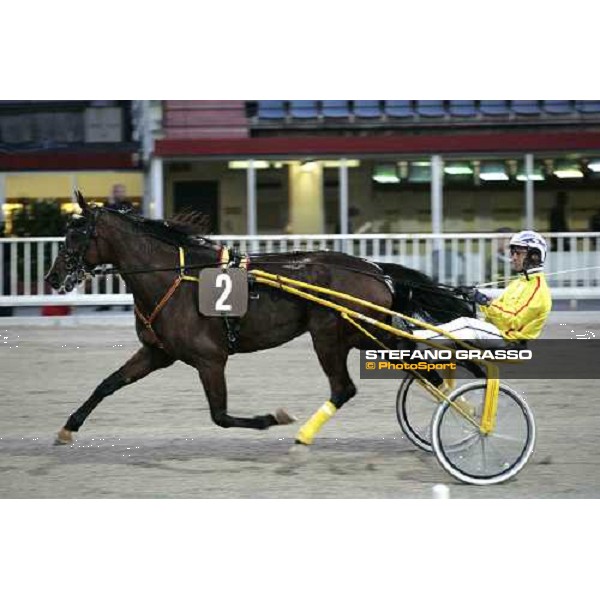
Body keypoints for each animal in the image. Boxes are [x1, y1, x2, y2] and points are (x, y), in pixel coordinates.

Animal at [44, 191, 472, 446]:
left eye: (75, 235)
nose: (51, 278)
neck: (173, 277)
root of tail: (375, 270)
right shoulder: (157, 353)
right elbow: (107, 384)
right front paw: (68, 427)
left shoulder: (210, 360)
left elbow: (220, 416)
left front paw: (272, 418)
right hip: (354, 335)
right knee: (399, 370)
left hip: (341, 334)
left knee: (354, 384)